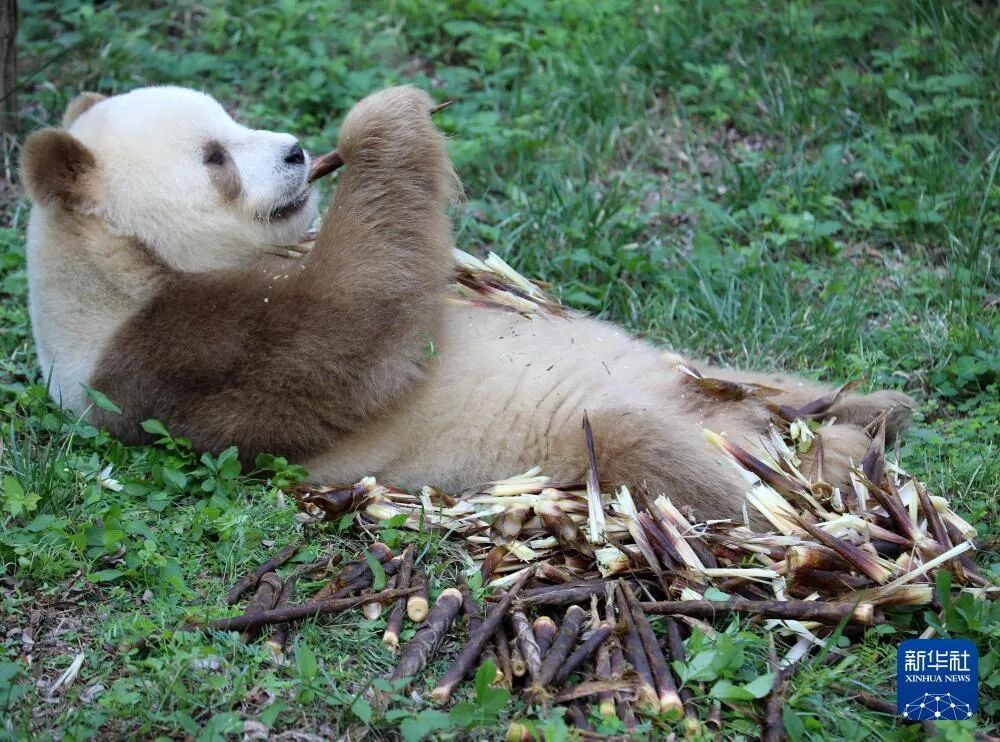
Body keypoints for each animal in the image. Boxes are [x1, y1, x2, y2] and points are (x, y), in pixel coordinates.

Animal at [20, 84, 914, 524]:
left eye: (233, 121)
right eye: (214, 157)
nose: (299, 153)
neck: (113, 266)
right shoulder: (164, 357)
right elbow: (346, 340)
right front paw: (383, 118)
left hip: (685, 368)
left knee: (734, 376)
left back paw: (872, 410)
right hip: (572, 444)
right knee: (656, 451)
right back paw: (802, 478)